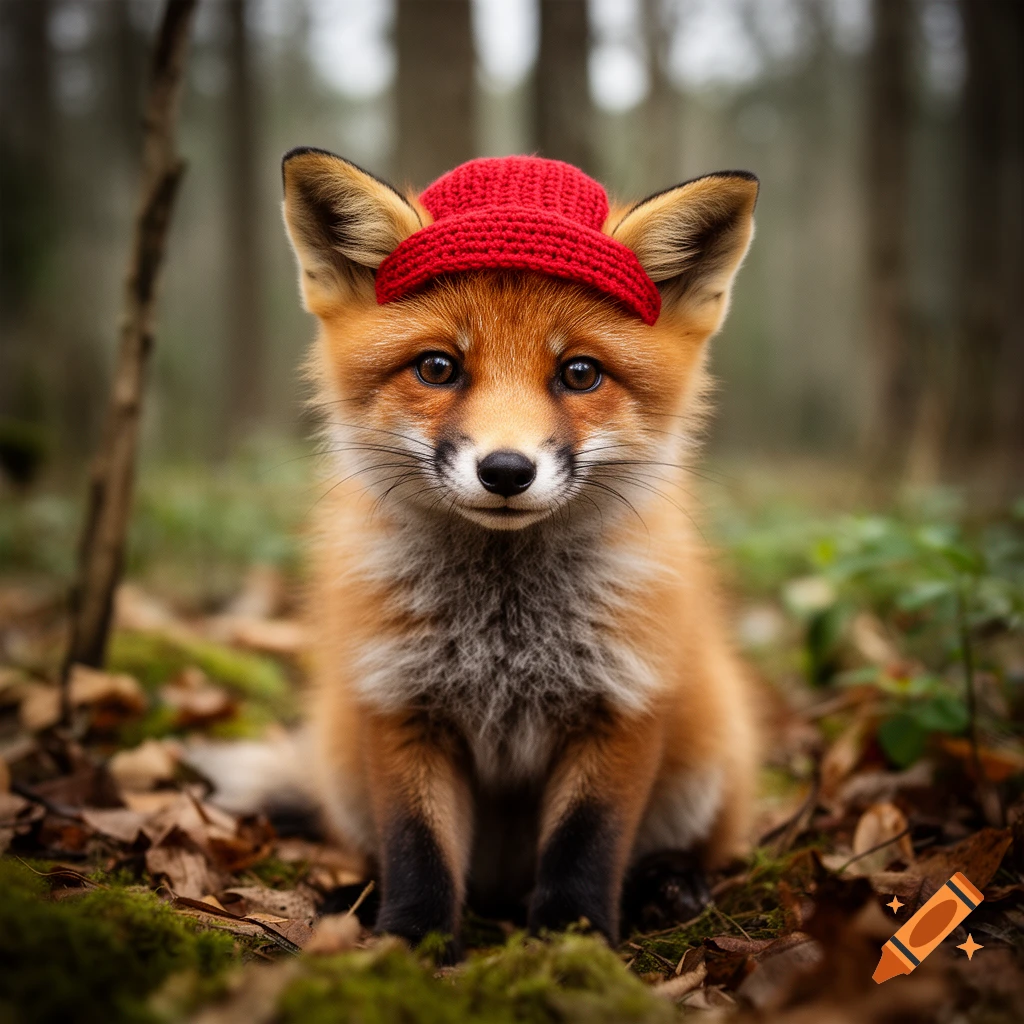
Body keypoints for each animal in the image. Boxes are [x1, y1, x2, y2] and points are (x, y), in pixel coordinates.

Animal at [279, 150, 761, 951]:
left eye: (580, 373)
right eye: (438, 367)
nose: (506, 471)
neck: (506, 628)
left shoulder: (622, 703)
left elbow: (586, 844)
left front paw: (572, 942)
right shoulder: (400, 702)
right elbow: (415, 848)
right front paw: (410, 943)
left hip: (708, 755)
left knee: (695, 849)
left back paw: (669, 883)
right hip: (344, 763)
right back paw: (355, 896)